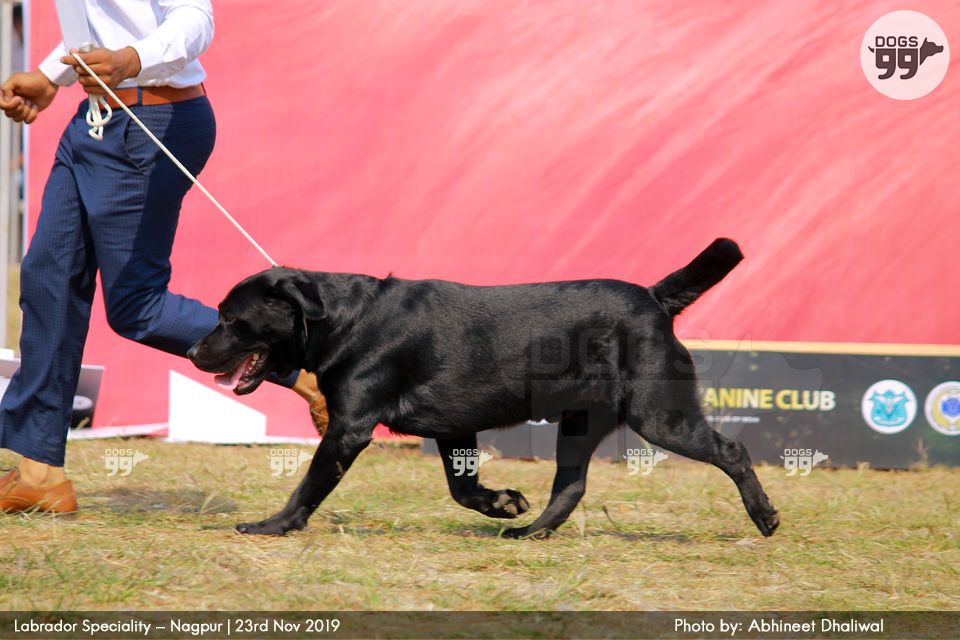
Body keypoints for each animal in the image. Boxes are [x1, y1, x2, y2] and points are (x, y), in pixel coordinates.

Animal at [188, 238, 779, 538]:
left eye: (228, 317)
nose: (193, 352)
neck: (340, 320)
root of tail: (655, 298)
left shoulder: (349, 429)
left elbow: (309, 484)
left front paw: (273, 525)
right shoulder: (454, 427)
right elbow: (462, 487)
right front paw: (504, 503)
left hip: (659, 414)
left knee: (733, 450)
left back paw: (766, 517)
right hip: (580, 422)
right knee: (570, 485)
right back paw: (529, 531)